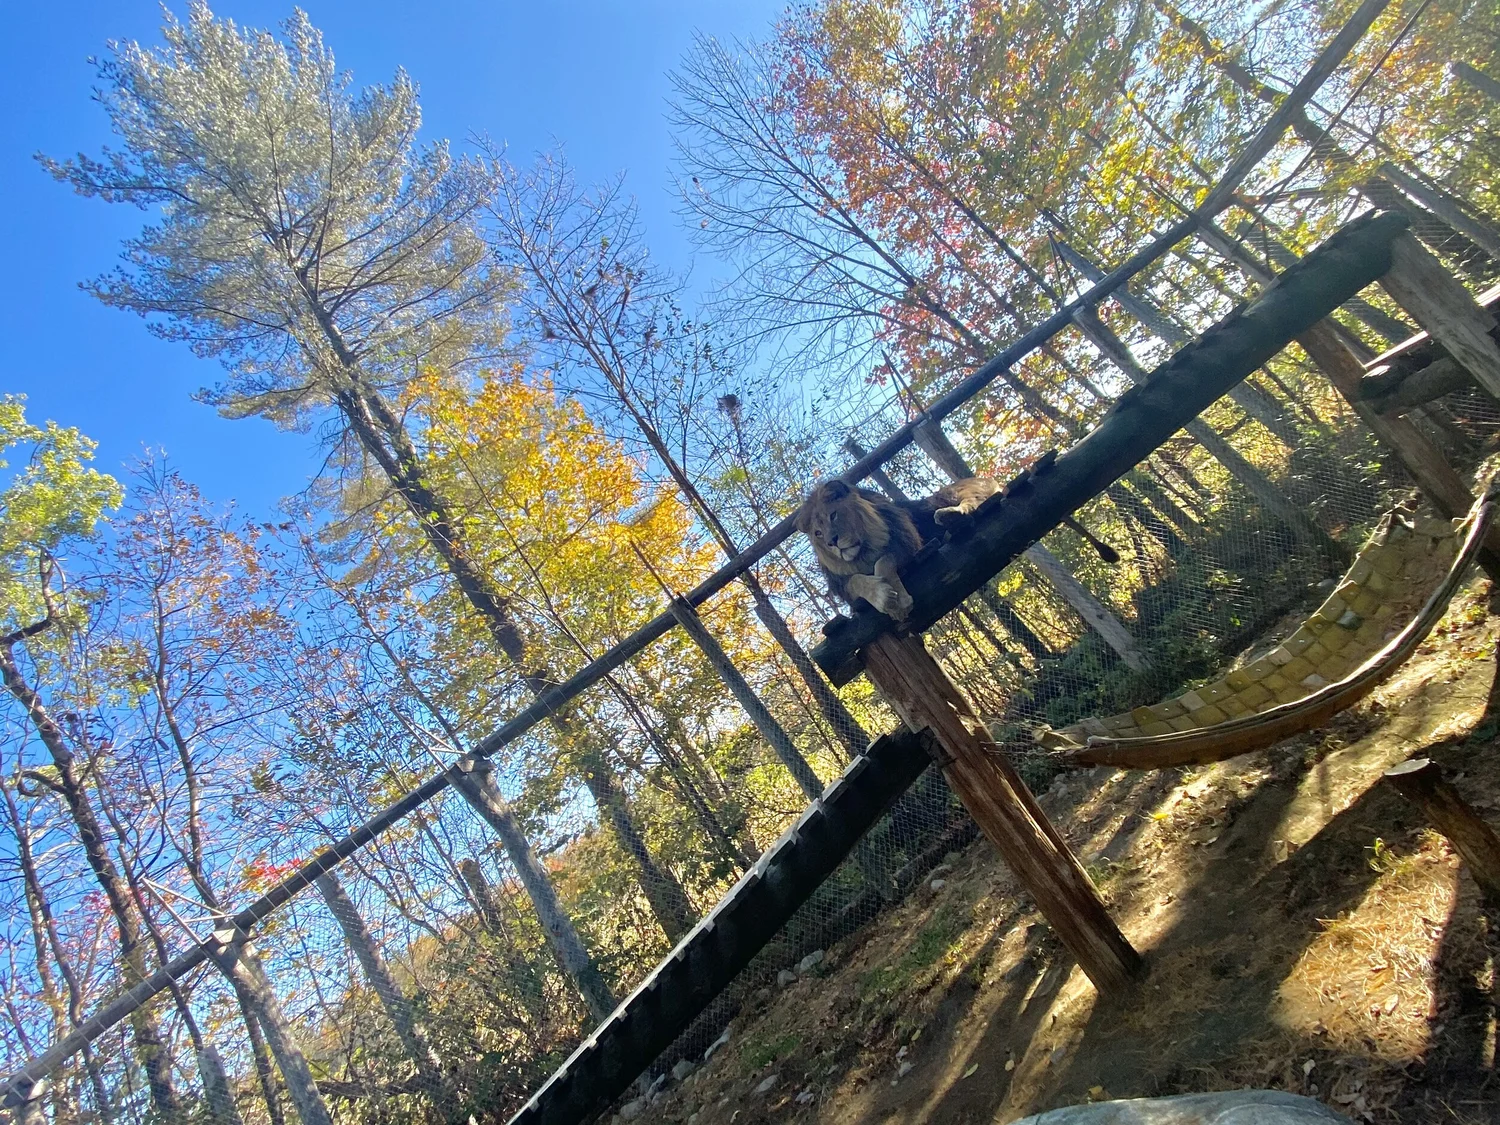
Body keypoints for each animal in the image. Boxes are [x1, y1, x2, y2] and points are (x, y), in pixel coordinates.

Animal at [797, 477, 1000, 620]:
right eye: (818, 533)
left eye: (833, 515)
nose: (832, 542)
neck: (864, 554)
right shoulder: (844, 587)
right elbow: (856, 580)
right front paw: (881, 596)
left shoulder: (907, 545)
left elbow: (884, 561)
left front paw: (899, 602)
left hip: (949, 494)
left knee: (971, 500)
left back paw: (951, 514)